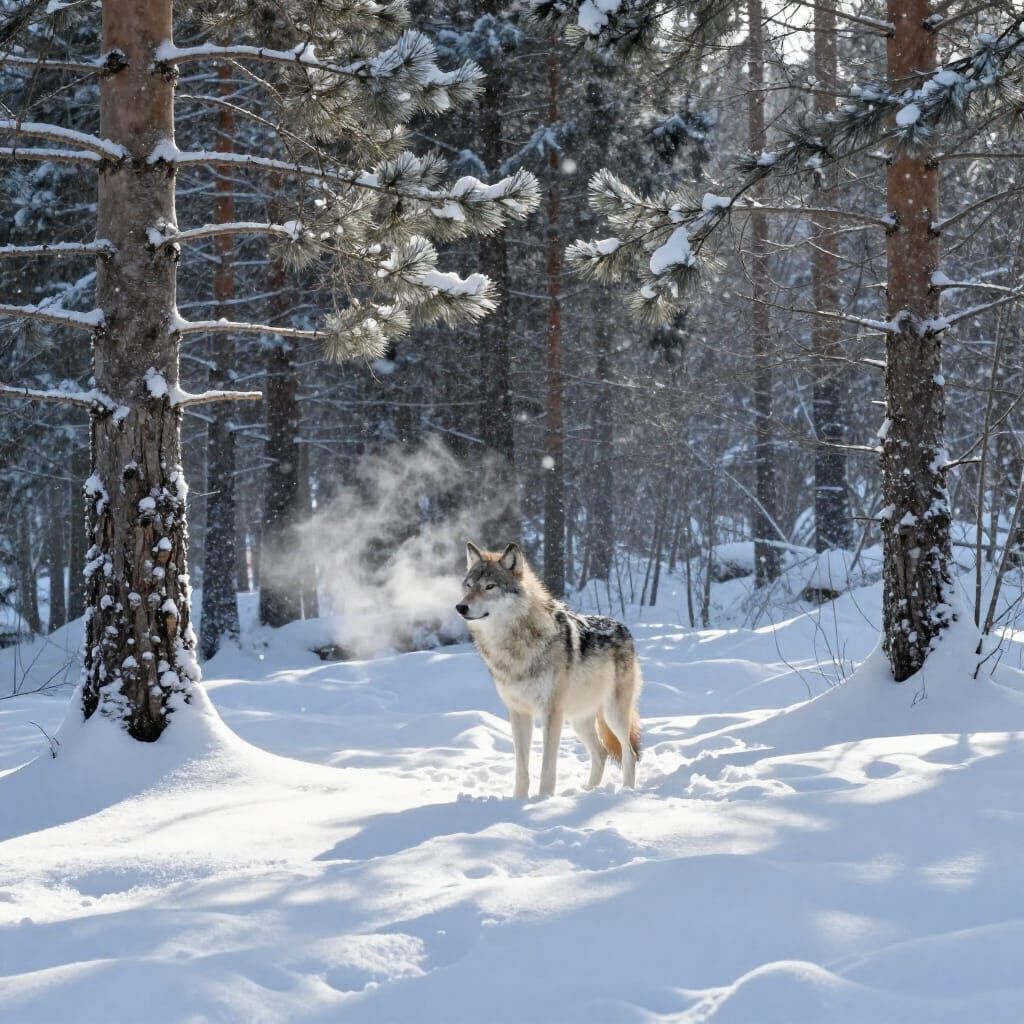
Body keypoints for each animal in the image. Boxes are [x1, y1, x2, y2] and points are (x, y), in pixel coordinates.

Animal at [457, 541, 642, 797]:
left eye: (489, 586)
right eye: (468, 585)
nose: (460, 607)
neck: (513, 645)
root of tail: (624, 627)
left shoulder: (551, 712)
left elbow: (547, 766)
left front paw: (544, 798)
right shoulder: (518, 712)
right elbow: (522, 768)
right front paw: (518, 800)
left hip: (612, 714)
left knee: (629, 754)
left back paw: (626, 790)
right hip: (578, 719)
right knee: (601, 752)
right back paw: (588, 791)